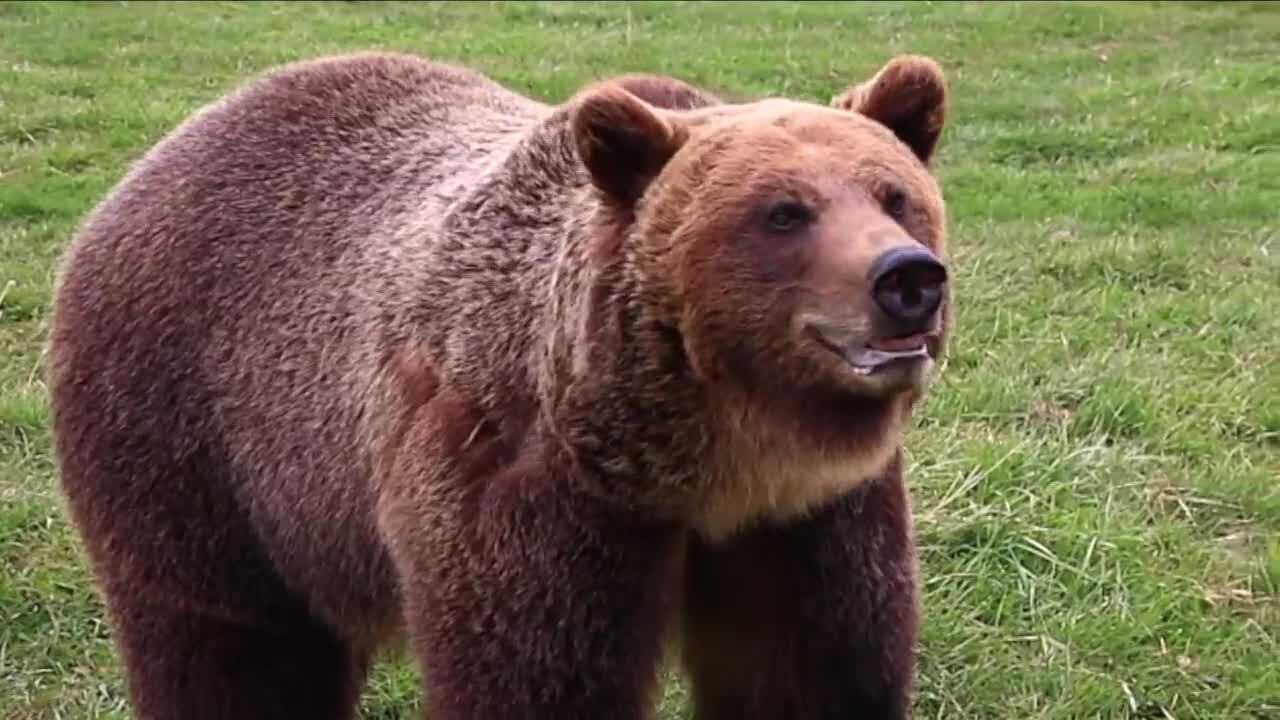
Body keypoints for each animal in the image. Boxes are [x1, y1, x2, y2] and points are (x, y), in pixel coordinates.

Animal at [47, 51, 952, 717]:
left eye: (895, 194)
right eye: (783, 212)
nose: (907, 278)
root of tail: (156, 159)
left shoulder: (807, 518)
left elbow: (809, 665)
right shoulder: (518, 487)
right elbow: (534, 672)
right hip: (196, 437)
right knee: (231, 642)